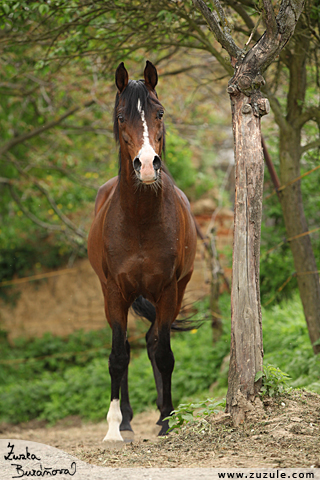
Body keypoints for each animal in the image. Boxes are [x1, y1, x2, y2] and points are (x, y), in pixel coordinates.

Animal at [88, 61, 198, 442]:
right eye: (122, 117)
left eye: (159, 112)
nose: (147, 165)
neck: (138, 218)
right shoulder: (114, 292)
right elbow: (117, 357)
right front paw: (113, 428)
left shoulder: (167, 290)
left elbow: (163, 354)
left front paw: (167, 420)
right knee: (125, 350)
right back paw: (126, 420)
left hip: (175, 292)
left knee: (151, 343)